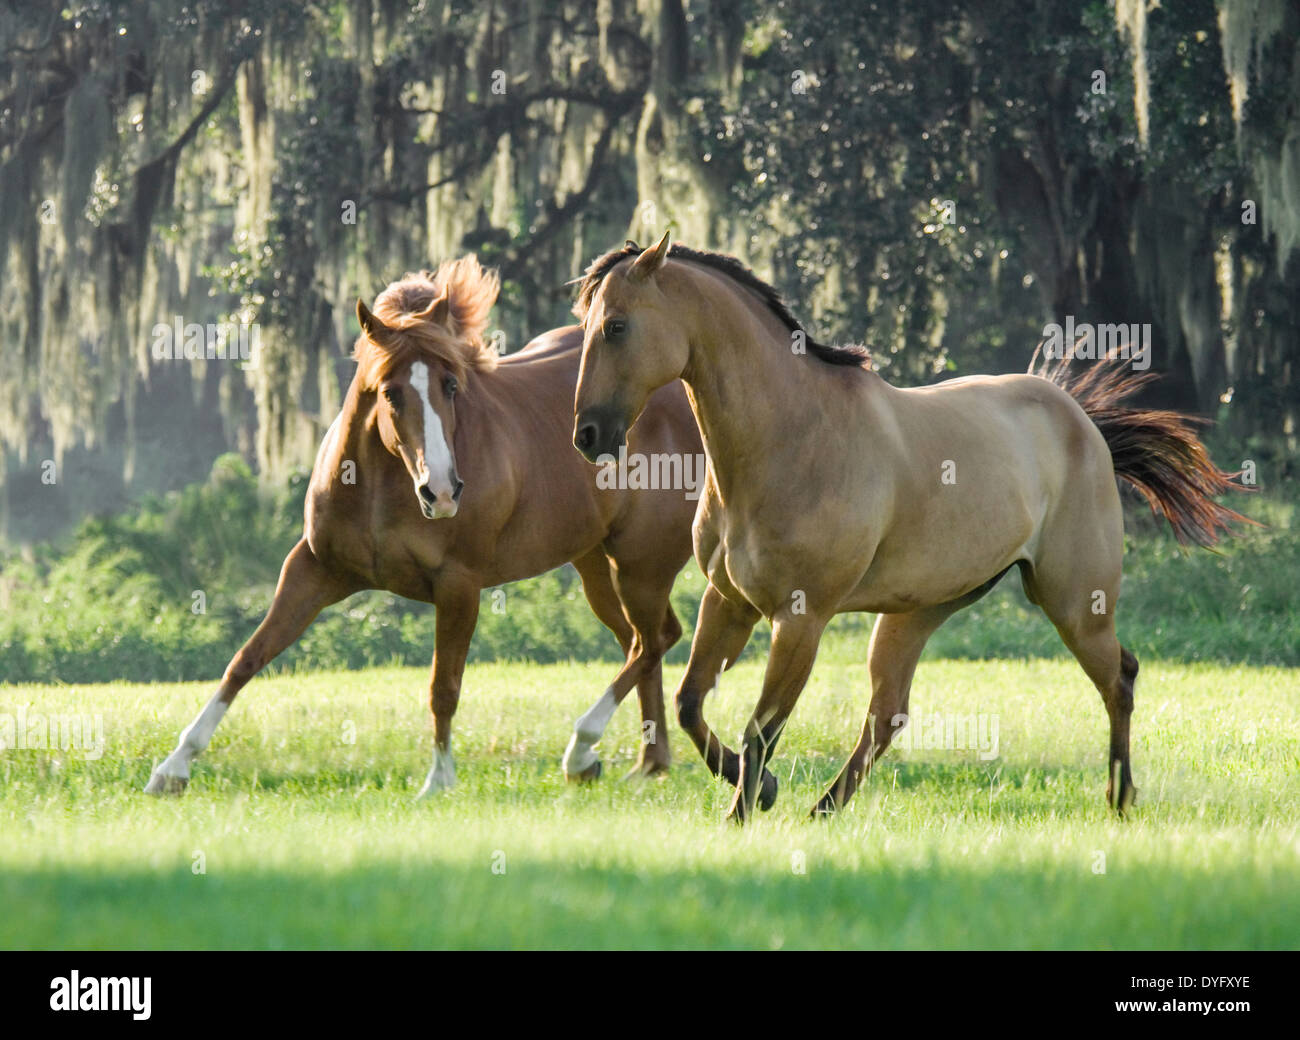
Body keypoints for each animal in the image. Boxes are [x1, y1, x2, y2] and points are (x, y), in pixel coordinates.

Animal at [145, 255, 701, 797]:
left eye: (451, 385)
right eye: (389, 393)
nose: (443, 492)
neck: (379, 488)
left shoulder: (458, 586)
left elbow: (443, 687)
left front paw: (439, 780)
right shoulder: (312, 569)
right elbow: (245, 659)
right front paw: (173, 768)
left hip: (641, 564)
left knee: (653, 640)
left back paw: (586, 750)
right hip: (597, 566)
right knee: (643, 641)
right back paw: (646, 763)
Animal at [571, 231, 1252, 822]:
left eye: (616, 326)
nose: (588, 435)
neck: (791, 437)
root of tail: (1081, 420)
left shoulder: (800, 619)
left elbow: (761, 728)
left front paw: (745, 809)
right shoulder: (729, 601)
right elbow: (691, 705)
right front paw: (760, 791)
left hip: (1074, 605)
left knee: (1120, 679)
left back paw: (1120, 798)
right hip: (918, 612)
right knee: (887, 715)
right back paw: (822, 810)